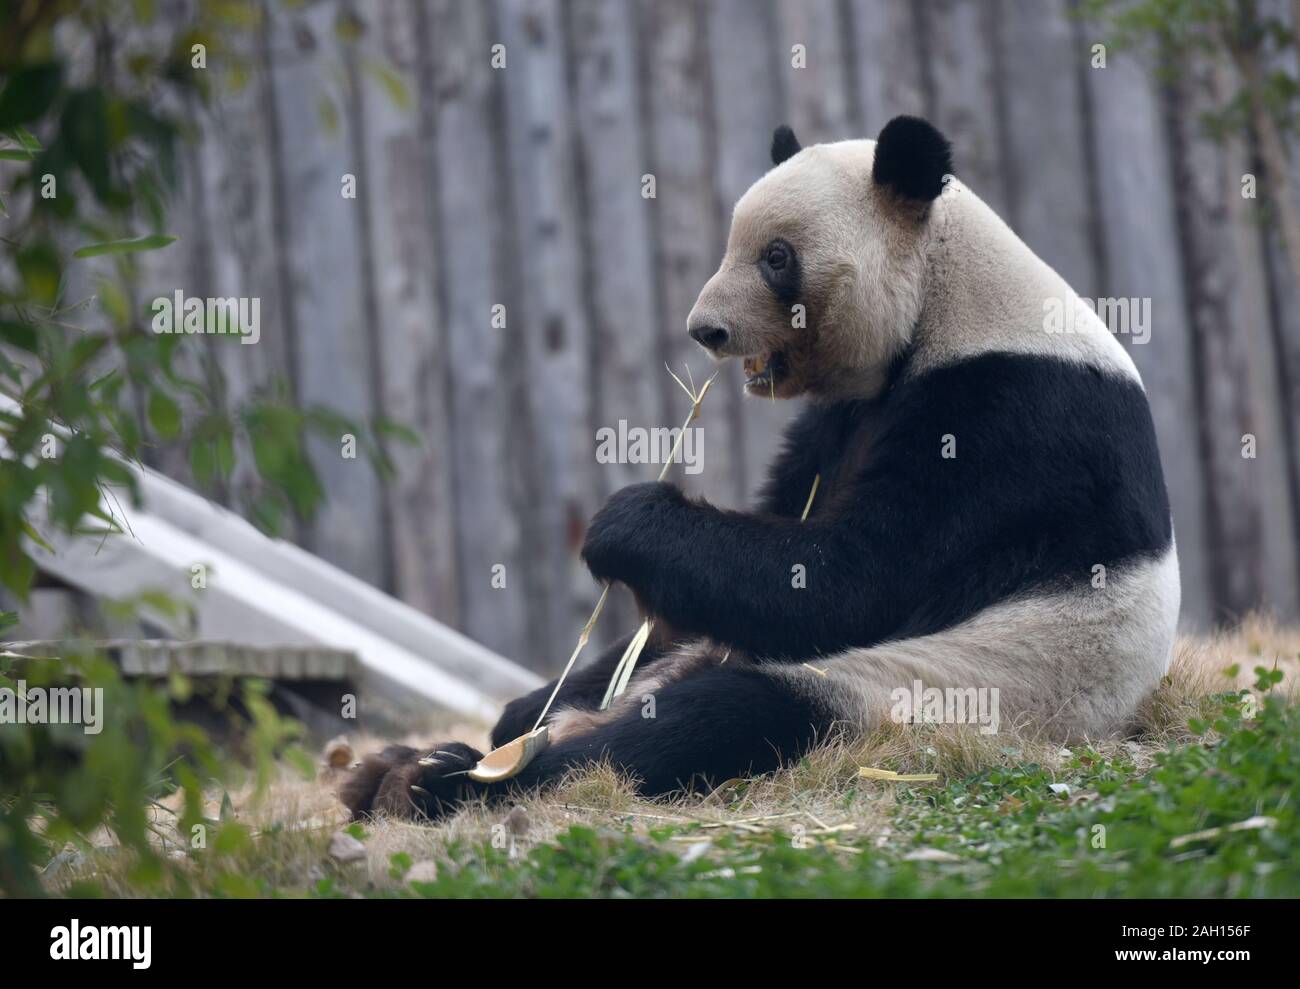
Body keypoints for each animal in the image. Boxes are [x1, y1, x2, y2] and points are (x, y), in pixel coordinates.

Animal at [340, 115, 1185, 821]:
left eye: (777, 257)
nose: (705, 329)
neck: (945, 295)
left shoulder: (1008, 417)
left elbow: (851, 582)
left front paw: (626, 522)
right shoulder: (843, 417)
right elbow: (750, 560)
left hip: (925, 691)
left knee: (715, 720)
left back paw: (445, 781)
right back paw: (431, 757)